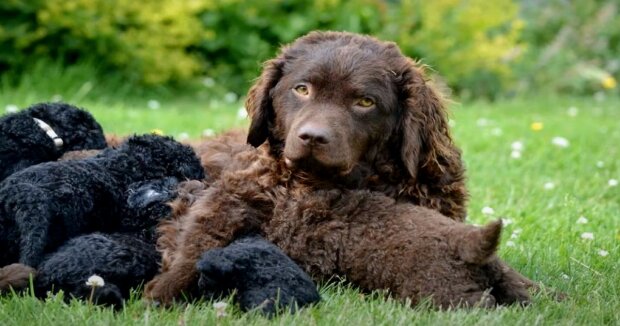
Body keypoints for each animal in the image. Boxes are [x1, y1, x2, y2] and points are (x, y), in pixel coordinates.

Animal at [145, 31, 532, 308]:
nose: (313, 137)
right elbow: (194, 244)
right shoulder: (221, 202)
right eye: (302, 89)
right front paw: (163, 290)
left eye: (365, 102)